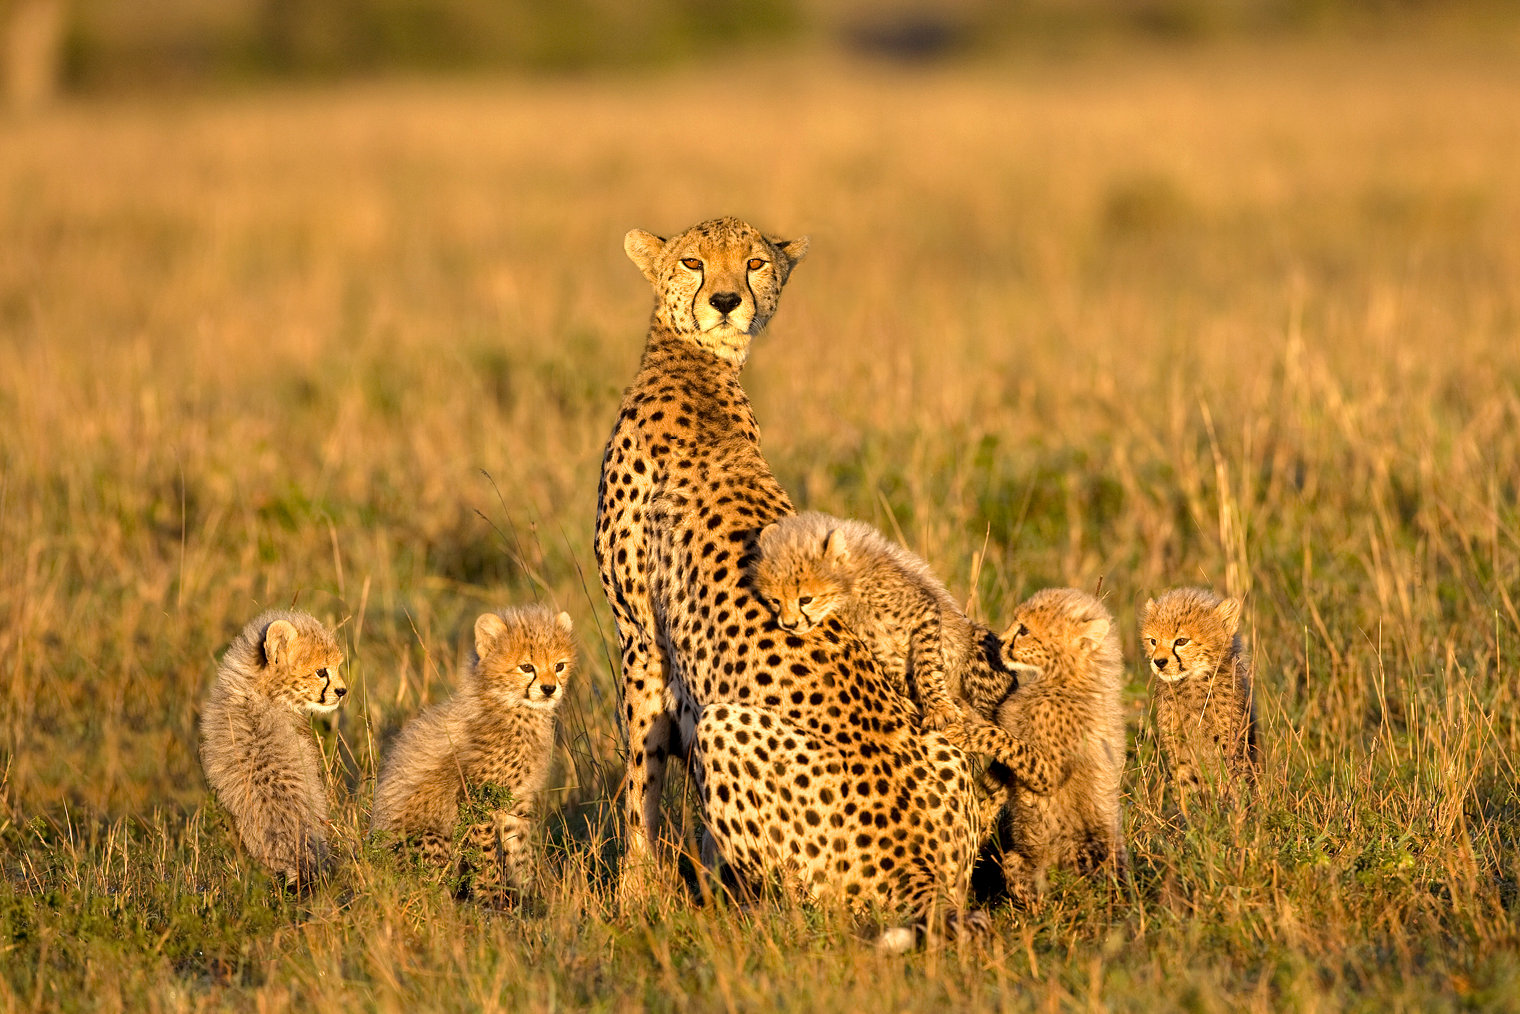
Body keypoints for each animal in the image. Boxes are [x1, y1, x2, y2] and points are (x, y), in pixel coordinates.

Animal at [592, 218, 1057, 942]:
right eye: (693, 262)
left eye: (755, 263)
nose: (725, 301)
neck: (694, 366)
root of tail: (918, 867)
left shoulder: (641, 643)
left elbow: (641, 782)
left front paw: (633, 898)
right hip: (946, 738)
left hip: (728, 730)